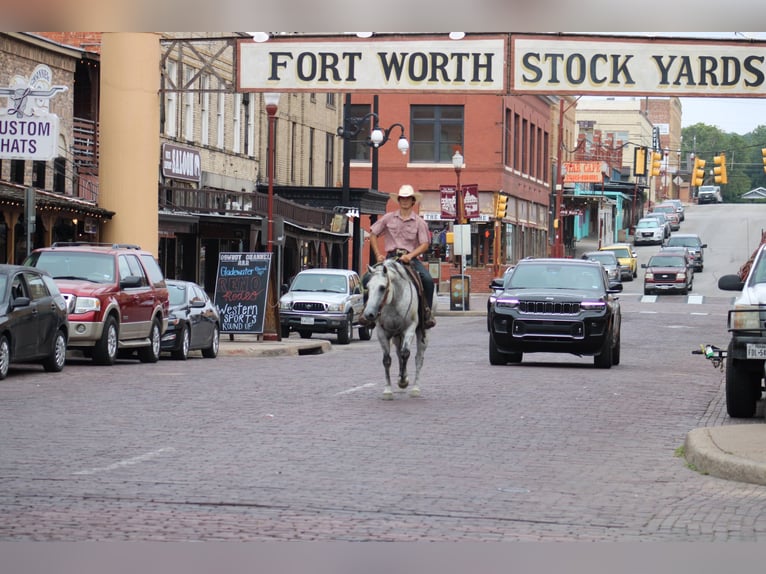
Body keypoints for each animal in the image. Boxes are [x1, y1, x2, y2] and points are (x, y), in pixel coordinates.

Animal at [364, 260, 428, 400]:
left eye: (382, 287)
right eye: (367, 287)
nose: (368, 314)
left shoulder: (410, 328)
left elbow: (405, 353)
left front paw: (403, 381)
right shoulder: (382, 333)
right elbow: (387, 359)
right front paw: (388, 390)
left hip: (422, 332)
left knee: (418, 357)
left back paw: (415, 388)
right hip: (396, 335)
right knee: (399, 353)